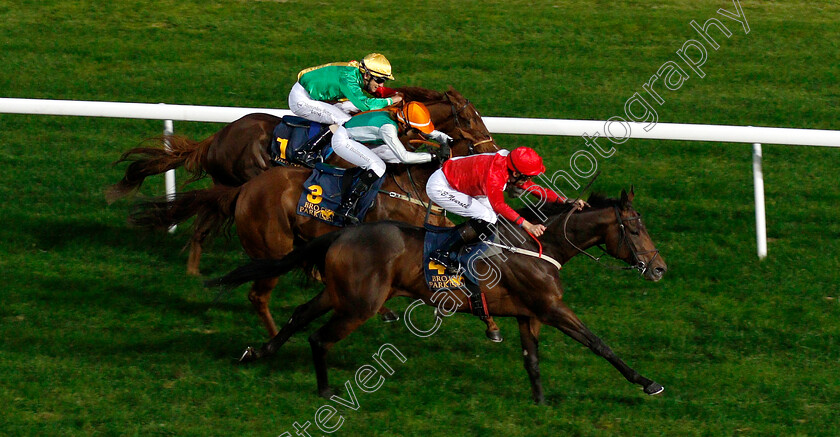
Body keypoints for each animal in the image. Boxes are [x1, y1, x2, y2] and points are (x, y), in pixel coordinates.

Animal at [108, 86, 496, 274]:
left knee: (204, 218)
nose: (492, 147)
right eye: (470, 118)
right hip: (241, 177)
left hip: (228, 183)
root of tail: (216, 138)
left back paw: (194, 268)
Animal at [207, 189, 668, 404]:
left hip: (340, 293)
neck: (539, 246)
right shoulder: (552, 307)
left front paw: (539, 402)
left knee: (300, 315)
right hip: (360, 304)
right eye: (635, 228)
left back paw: (259, 351)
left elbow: (531, 360)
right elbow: (599, 344)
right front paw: (648, 383)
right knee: (319, 337)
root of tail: (342, 232)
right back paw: (325, 390)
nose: (660, 268)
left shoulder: (529, 313)